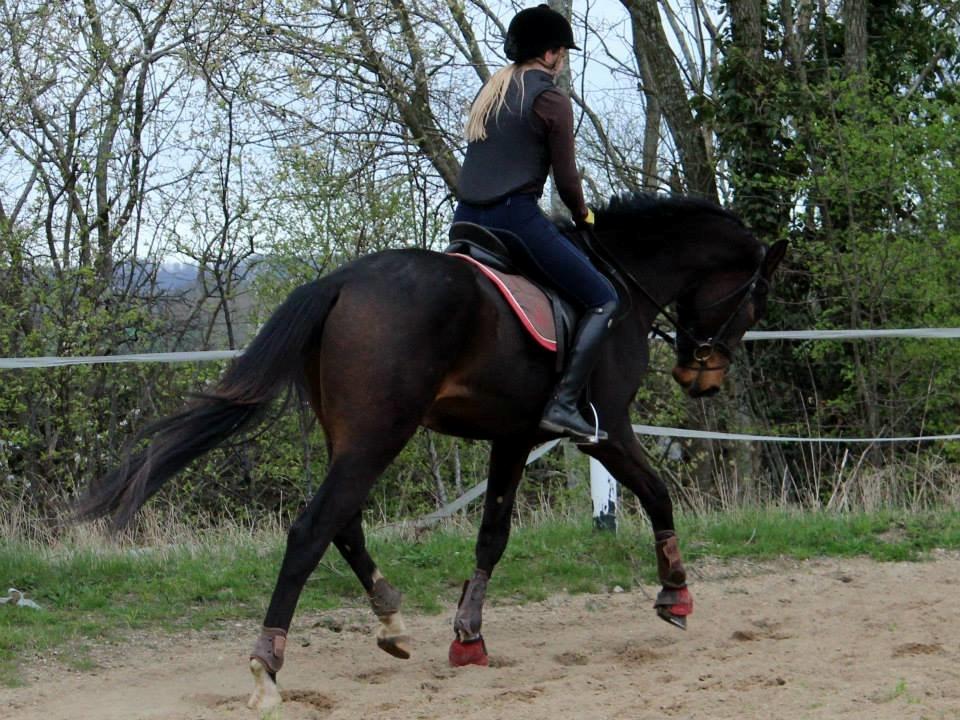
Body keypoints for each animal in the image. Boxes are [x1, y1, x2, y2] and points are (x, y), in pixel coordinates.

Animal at [77, 194, 788, 712]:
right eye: (754, 300)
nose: (702, 380)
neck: (622, 281)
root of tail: (342, 282)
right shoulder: (606, 427)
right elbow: (656, 492)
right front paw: (675, 595)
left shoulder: (513, 437)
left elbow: (492, 534)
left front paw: (468, 636)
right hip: (379, 433)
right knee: (312, 529)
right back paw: (267, 667)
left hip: (354, 435)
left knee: (343, 524)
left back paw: (391, 621)